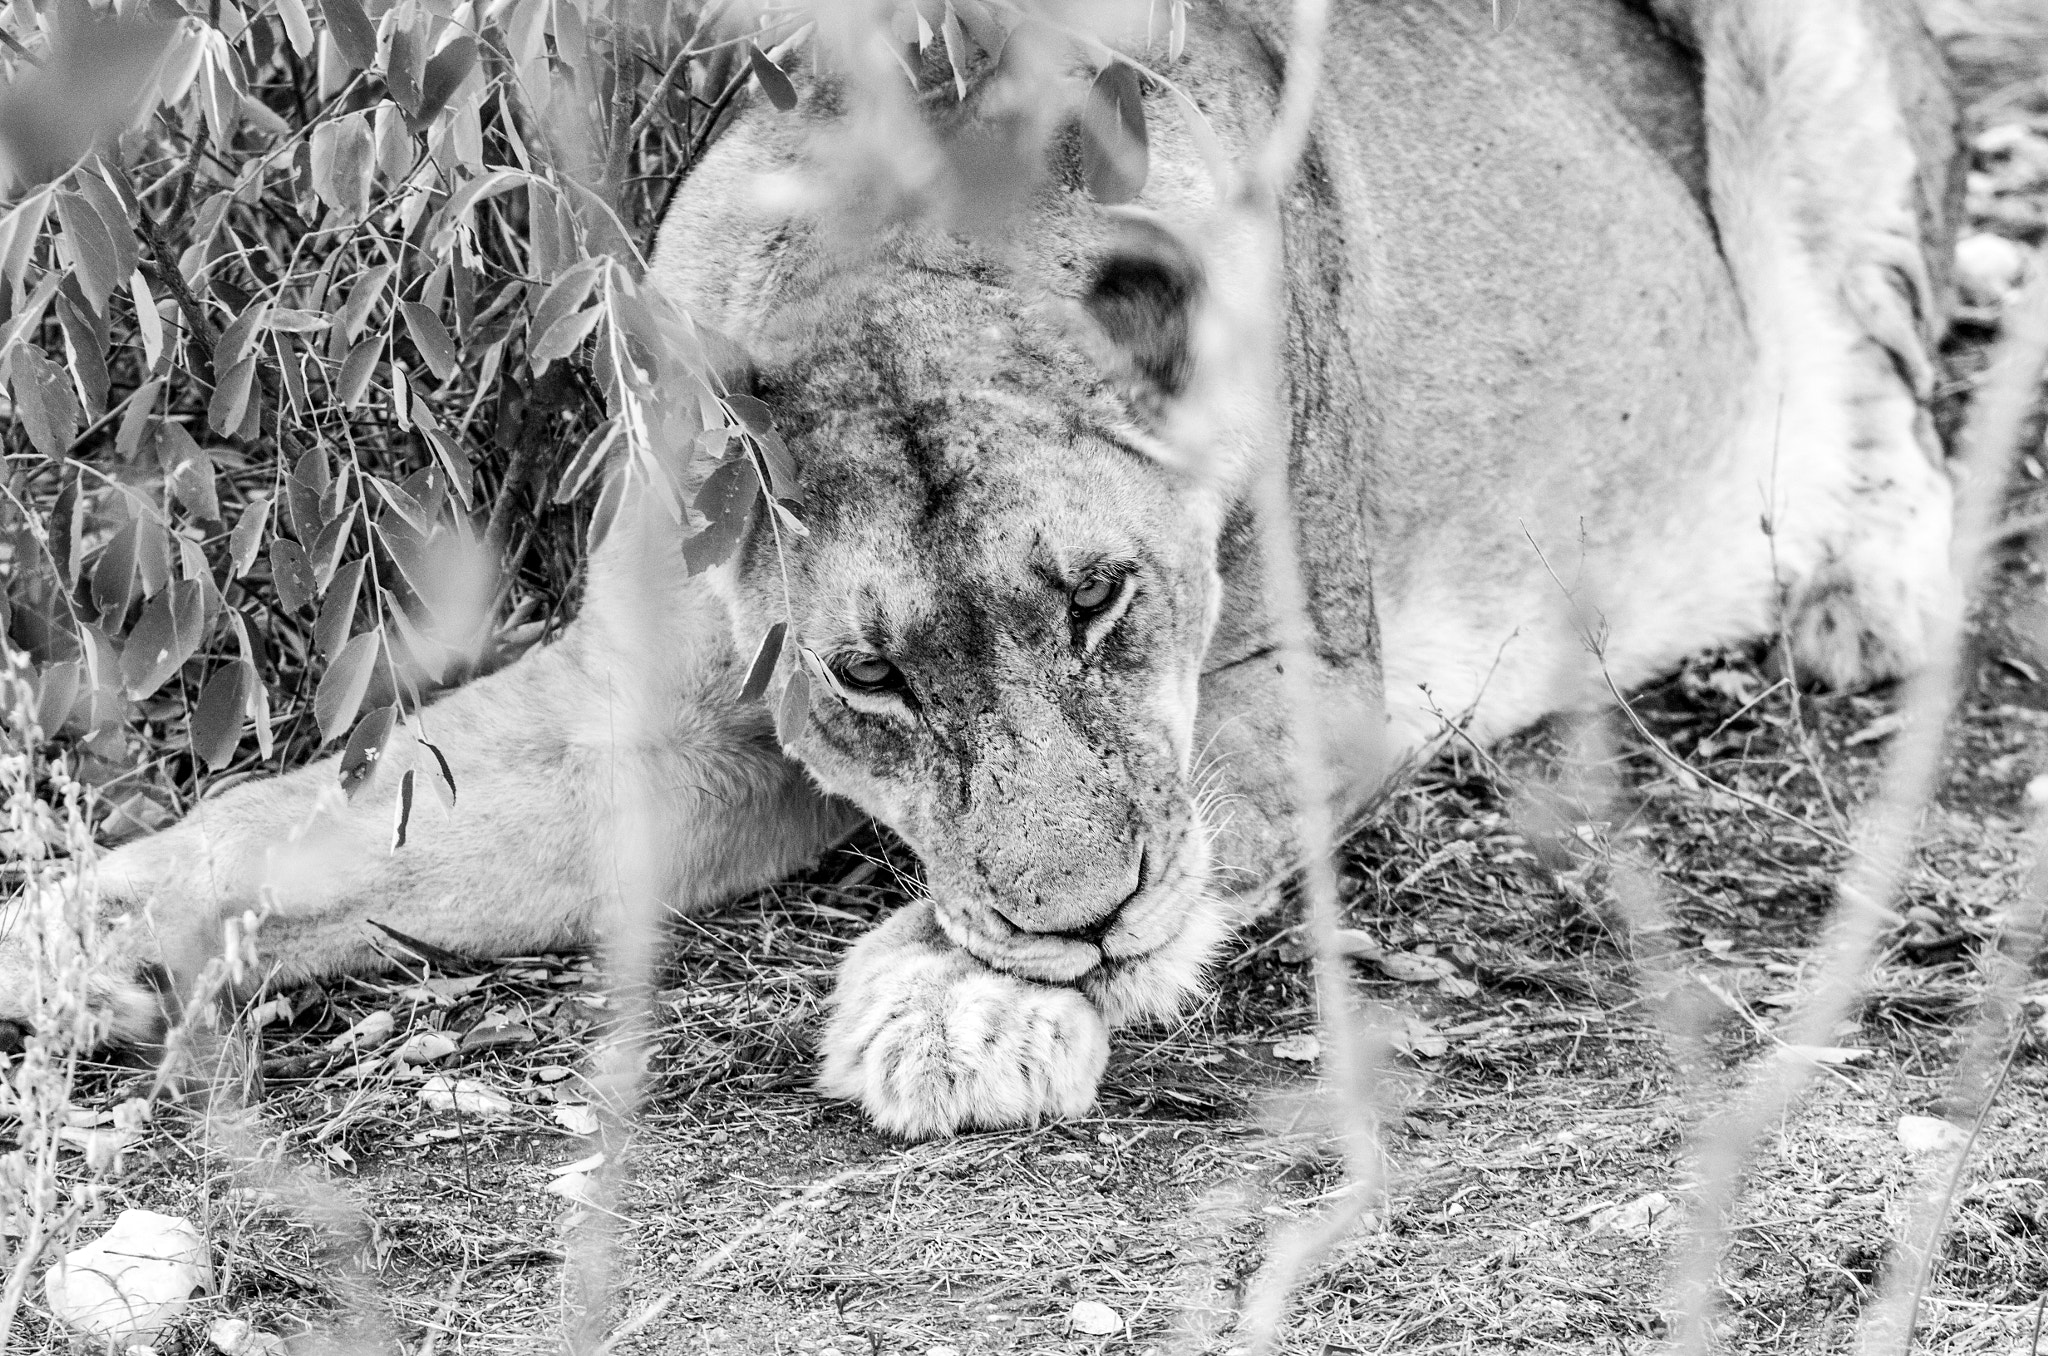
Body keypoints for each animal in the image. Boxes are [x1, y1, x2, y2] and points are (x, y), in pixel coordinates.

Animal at [0, 0, 1969, 1138]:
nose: (1068, 921)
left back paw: (1854, 601)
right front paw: (67, 935)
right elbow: (314, 823)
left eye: (1099, 599)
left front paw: (960, 1003)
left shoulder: (1322, 676)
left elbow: (1197, 809)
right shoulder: (649, 716)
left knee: (1892, 381)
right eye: (869, 675)